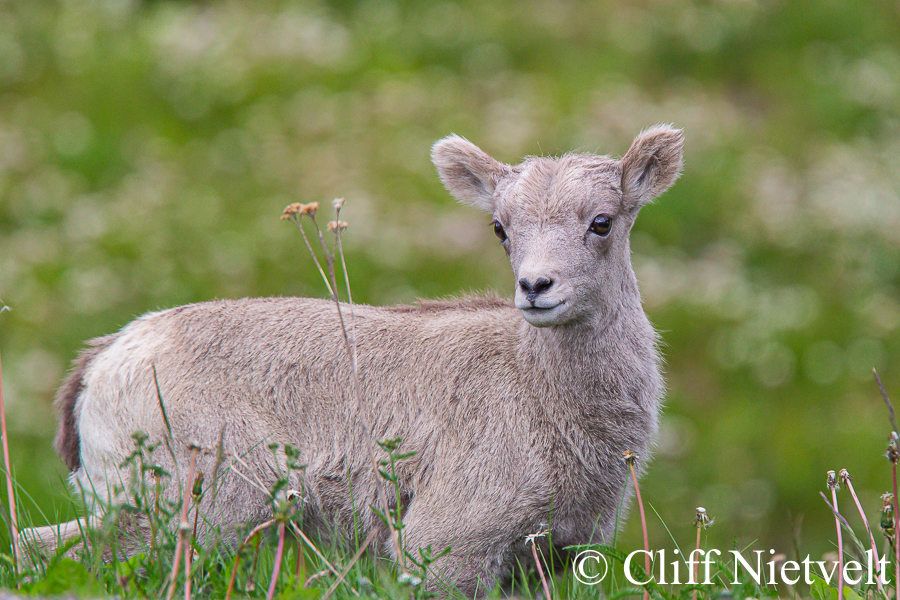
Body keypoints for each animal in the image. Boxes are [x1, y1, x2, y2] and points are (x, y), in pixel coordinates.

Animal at [22, 125, 684, 596]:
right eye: (500, 228)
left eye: (602, 222)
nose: (536, 287)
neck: (546, 403)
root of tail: (106, 360)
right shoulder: (445, 546)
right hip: (193, 507)